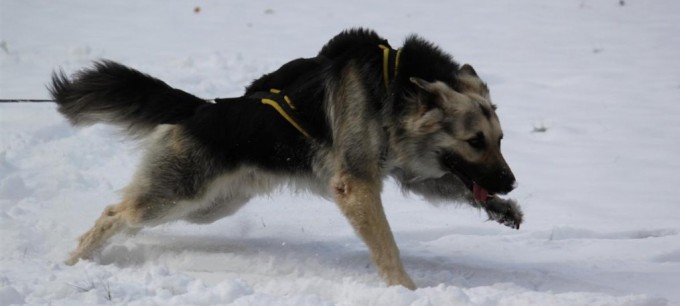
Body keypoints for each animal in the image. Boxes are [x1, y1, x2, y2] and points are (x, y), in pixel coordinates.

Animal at [50, 28, 524, 290]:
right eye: (475, 141)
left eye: (500, 139)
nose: (510, 182)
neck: (393, 88)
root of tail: (199, 109)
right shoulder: (356, 186)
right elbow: (387, 246)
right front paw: (405, 290)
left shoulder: (408, 171)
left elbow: (454, 188)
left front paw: (503, 209)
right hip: (181, 194)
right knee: (114, 213)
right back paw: (73, 261)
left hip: (210, 207)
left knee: (131, 215)